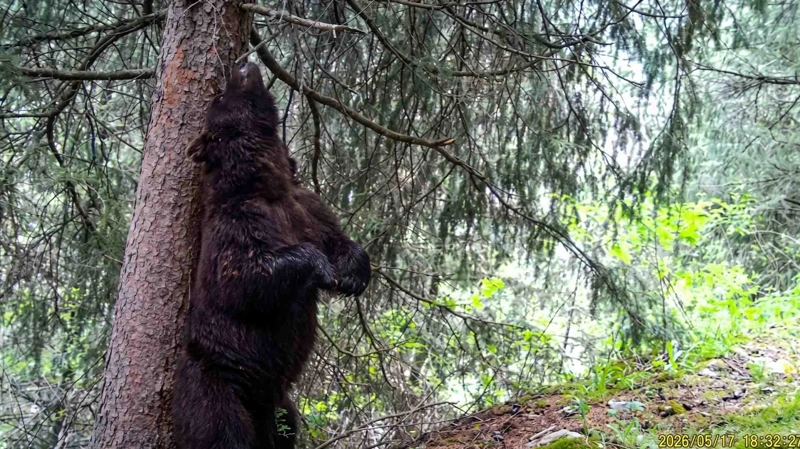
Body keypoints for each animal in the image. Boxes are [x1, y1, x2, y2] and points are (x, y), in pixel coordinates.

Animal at [172, 61, 371, 449]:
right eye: (220, 96)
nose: (243, 64)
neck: (266, 183)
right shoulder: (237, 223)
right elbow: (242, 276)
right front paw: (320, 267)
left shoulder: (306, 208)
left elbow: (337, 237)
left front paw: (353, 275)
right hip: (214, 379)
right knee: (221, 430)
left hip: (278, 404)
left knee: (286, 426)